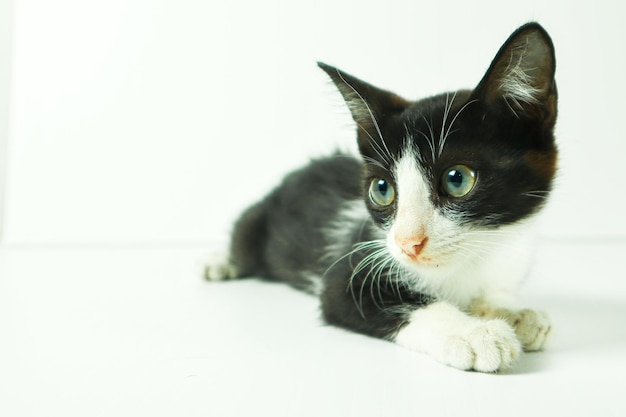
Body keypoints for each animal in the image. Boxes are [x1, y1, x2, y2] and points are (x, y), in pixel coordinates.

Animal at [206, 22, 556, 370]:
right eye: (382, 188)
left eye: (457, 180)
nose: (407, 243)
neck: (473, 259)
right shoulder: (350, 271)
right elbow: (406, 304)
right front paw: (473, 333)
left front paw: (513, 313)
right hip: (256, 221)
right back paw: (219, 263)